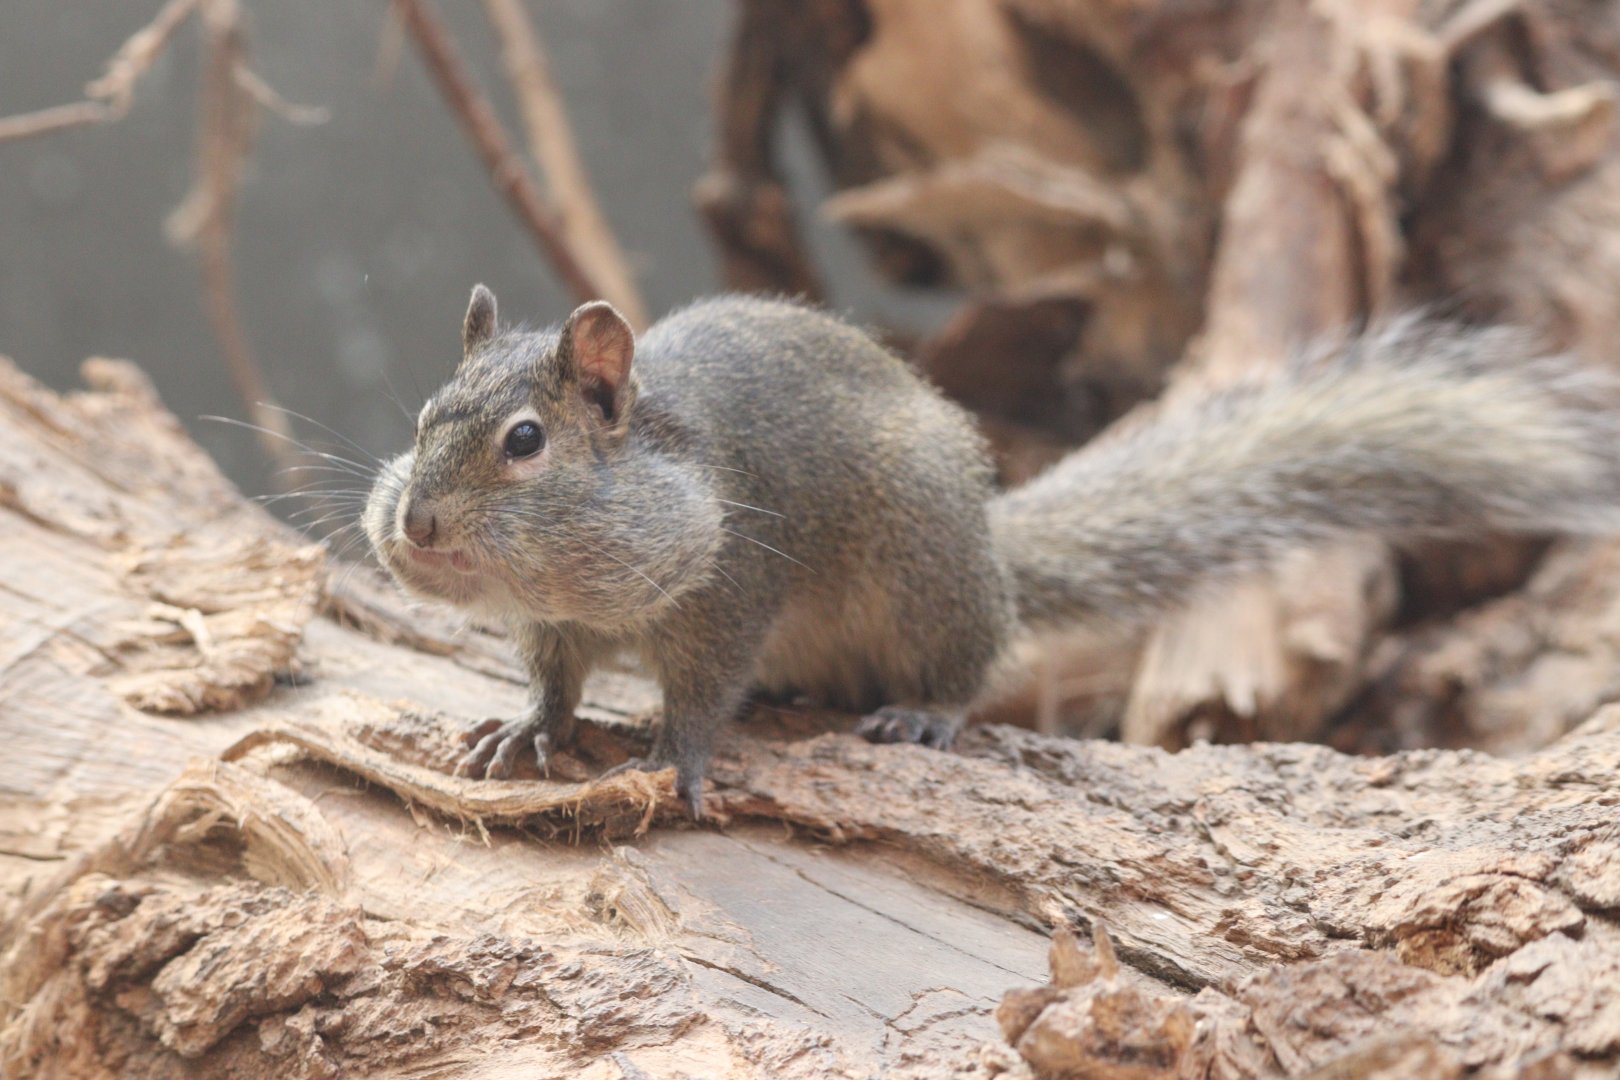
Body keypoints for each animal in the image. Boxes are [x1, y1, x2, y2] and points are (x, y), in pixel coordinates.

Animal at [363, 287, 1620, 816]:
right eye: (419, 417)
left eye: (527, 442)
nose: (413, 527)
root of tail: (992, 550)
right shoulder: (553, 627)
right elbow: (554, 680)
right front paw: (526, 729)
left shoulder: (734, 587)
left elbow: (706, 692)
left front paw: (673, 757)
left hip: (923, 578)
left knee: (969, 665)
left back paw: (922, 713)